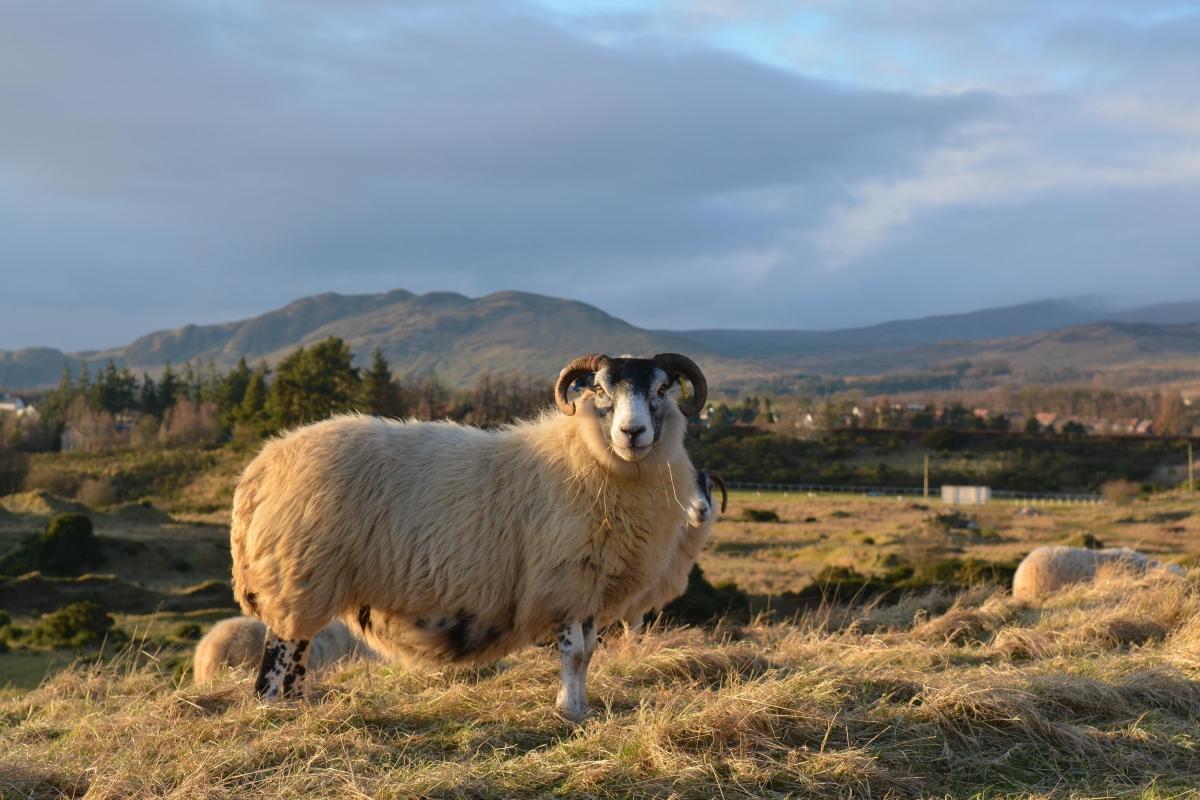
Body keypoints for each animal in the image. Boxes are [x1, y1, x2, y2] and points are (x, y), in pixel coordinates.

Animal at [229, 352, 705, 724]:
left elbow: (587, 653)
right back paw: (273, 709)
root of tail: (263, 465)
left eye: (662, 388)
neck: (584, 456)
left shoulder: (588, 585)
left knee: (298, 653)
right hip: (297, 573)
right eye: (601, 390)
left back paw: (296, 708)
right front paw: (568, 710)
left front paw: (582, 707)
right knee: (279, 653)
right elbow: (572, 654)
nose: (632, 433)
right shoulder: (564, 579)